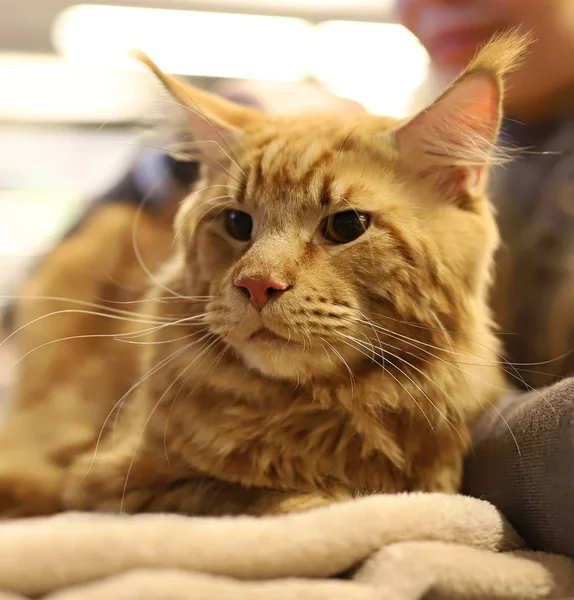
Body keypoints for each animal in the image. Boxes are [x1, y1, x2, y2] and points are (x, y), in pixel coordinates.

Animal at [0, 32, 528, 516]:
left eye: (346, 225)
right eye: (237, 223)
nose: (256, 284)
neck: (314, 417)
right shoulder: (108, 486)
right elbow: (238, 493)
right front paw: (314, 498)